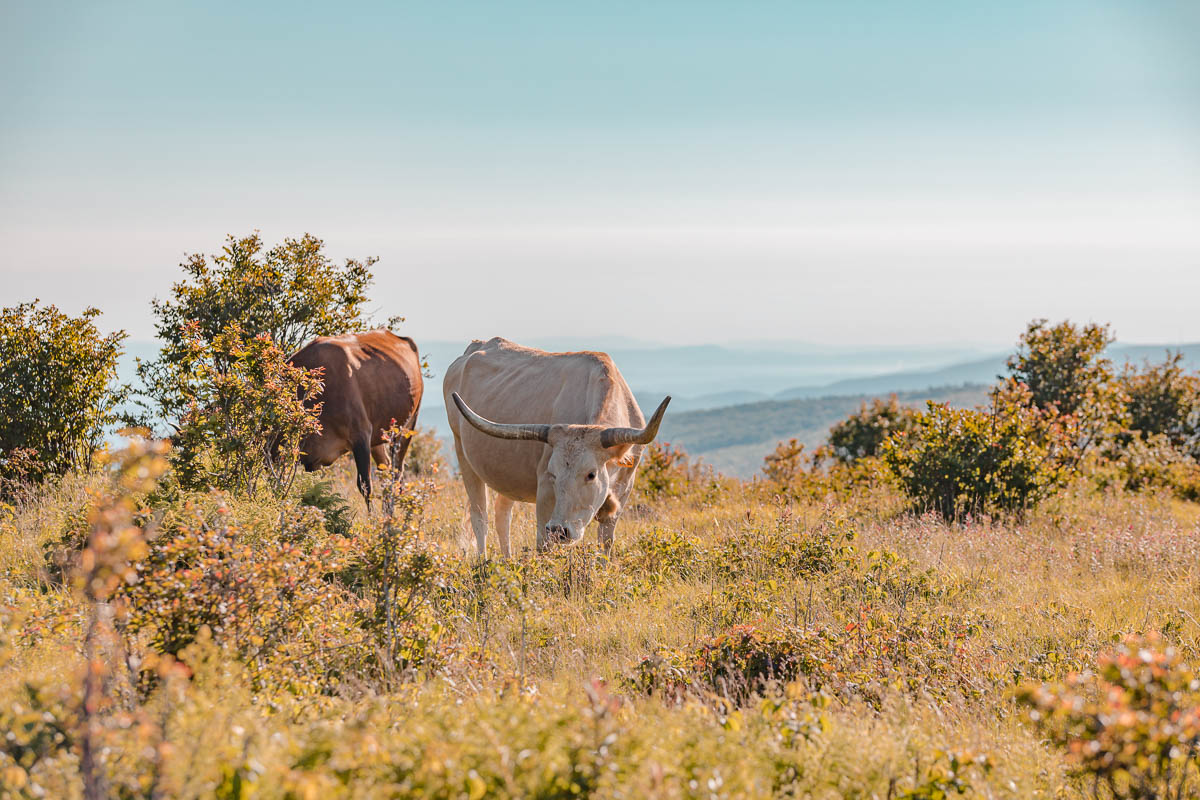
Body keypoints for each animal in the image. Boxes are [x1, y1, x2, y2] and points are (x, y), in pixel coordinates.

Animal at [288, 326, 424, 503]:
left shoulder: (361, 435)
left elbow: (365, 486)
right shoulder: (311, 460)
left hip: (407, 426)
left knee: (397, 473)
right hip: (378, 436)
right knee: (386, 470)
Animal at [444, 338, 672, 556]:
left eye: (591, 474)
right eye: (553, 473)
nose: (559, 530)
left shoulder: (624, 491)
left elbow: (606, 543)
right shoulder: (544, 491)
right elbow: (542, 544)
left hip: (507, 475)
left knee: (502, 514)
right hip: (463, 454)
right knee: (480, 518)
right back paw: (483, 563)